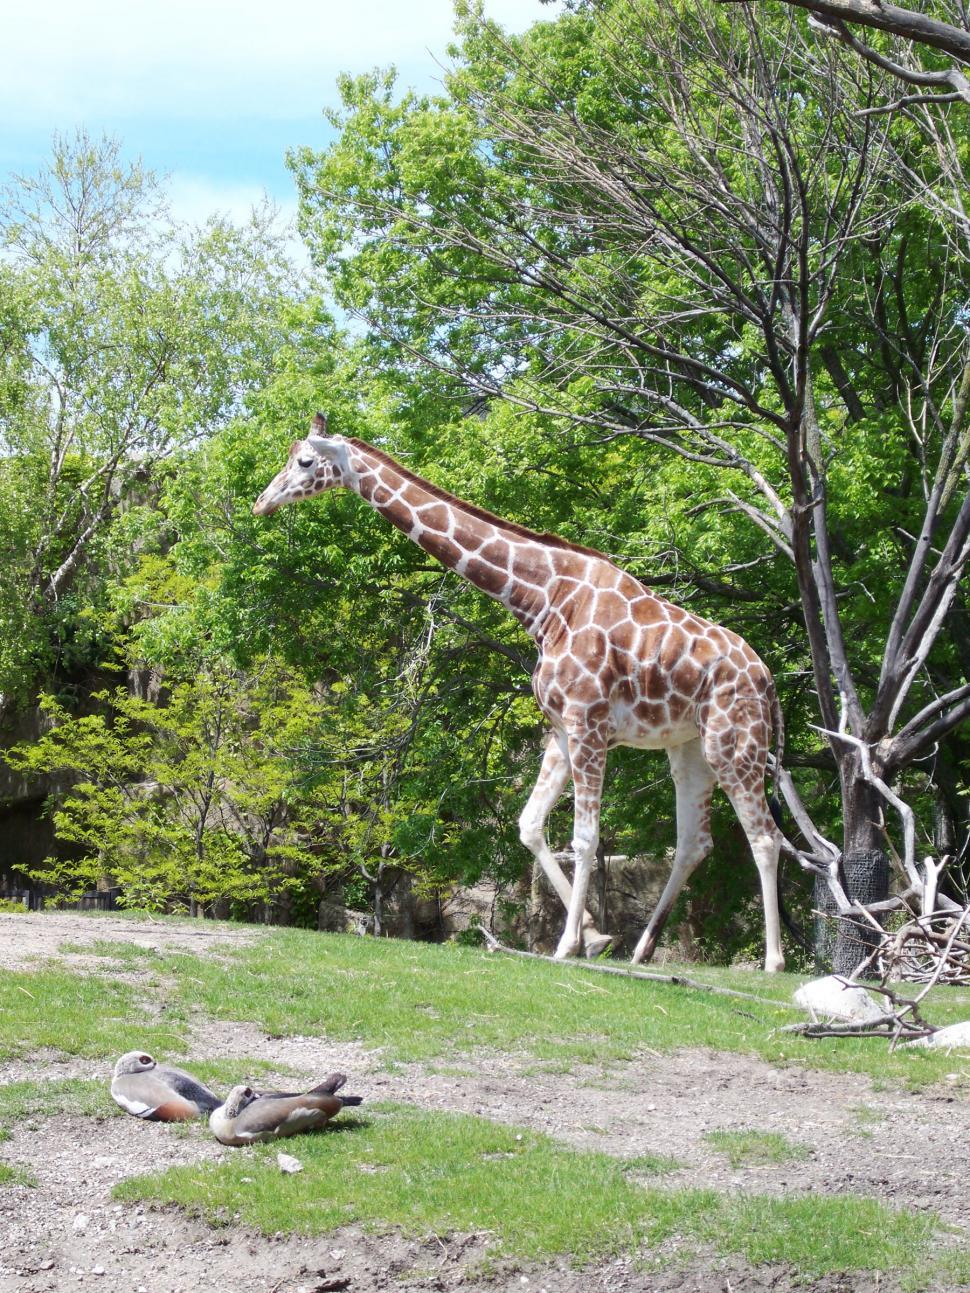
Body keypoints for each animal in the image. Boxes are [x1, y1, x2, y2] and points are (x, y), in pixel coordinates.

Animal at [253, 413, 786, 971]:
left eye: (305, 461)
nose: (261, 502)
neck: (543, 599)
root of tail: (767, 680)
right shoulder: (561, 728)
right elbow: (529, 824)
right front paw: (593, 935)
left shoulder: (589, 723)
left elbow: (586, 837)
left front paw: (569, 944)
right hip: (688, 747)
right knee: (694, 842)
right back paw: (642, 949)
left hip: (735, 741)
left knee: (765, 837)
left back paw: (773, 961)